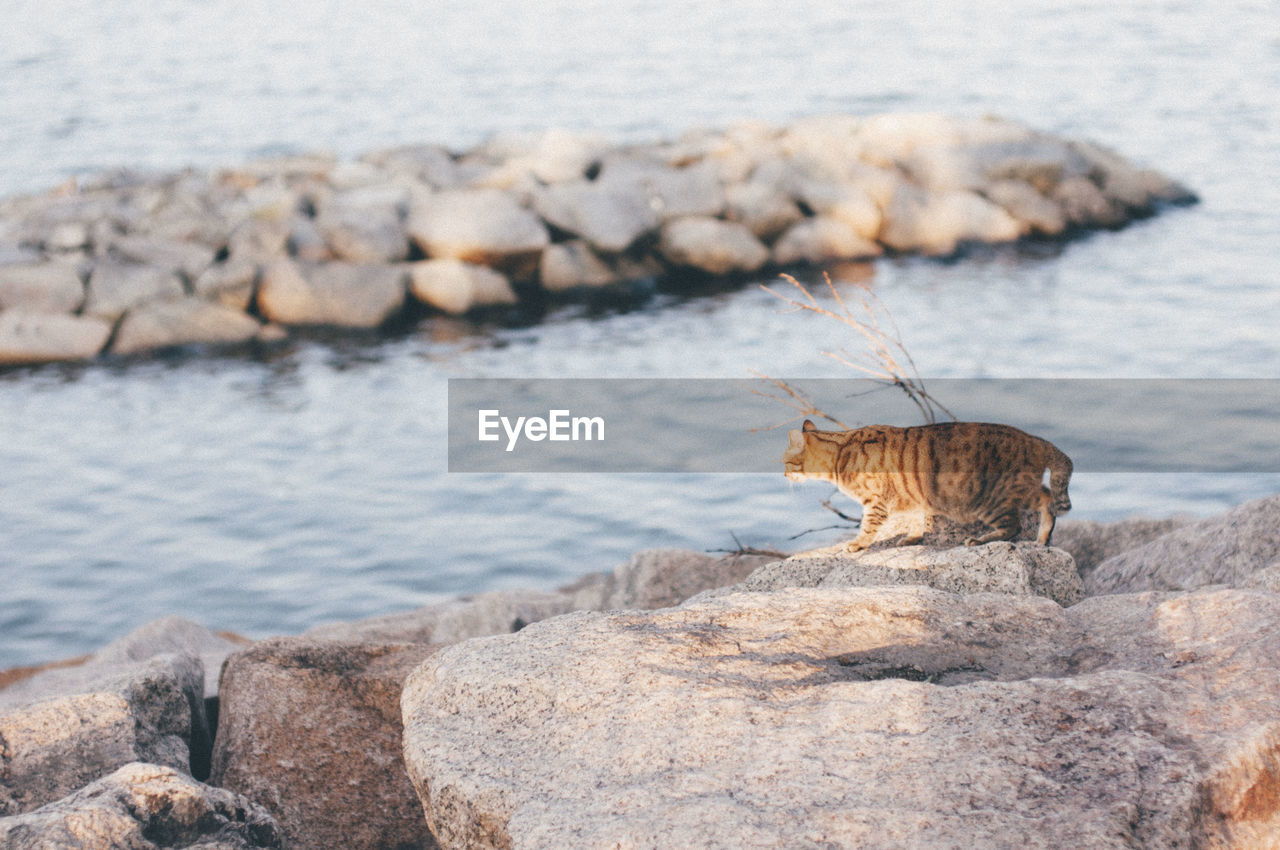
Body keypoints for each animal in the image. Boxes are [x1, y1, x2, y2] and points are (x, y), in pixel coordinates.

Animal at [778, 419, 1070, 550]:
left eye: (785, 461)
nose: (782, 475)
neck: (841, 451)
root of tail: (1033, 439)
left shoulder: (875, 501)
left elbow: (868, 527)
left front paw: (858, 544)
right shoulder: (913, 497)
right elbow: (917, 520)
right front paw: (912, 538)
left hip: (993, 499)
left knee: (1027, 515)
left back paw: (987, 539)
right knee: (1044, 500)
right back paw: (1042, 538)